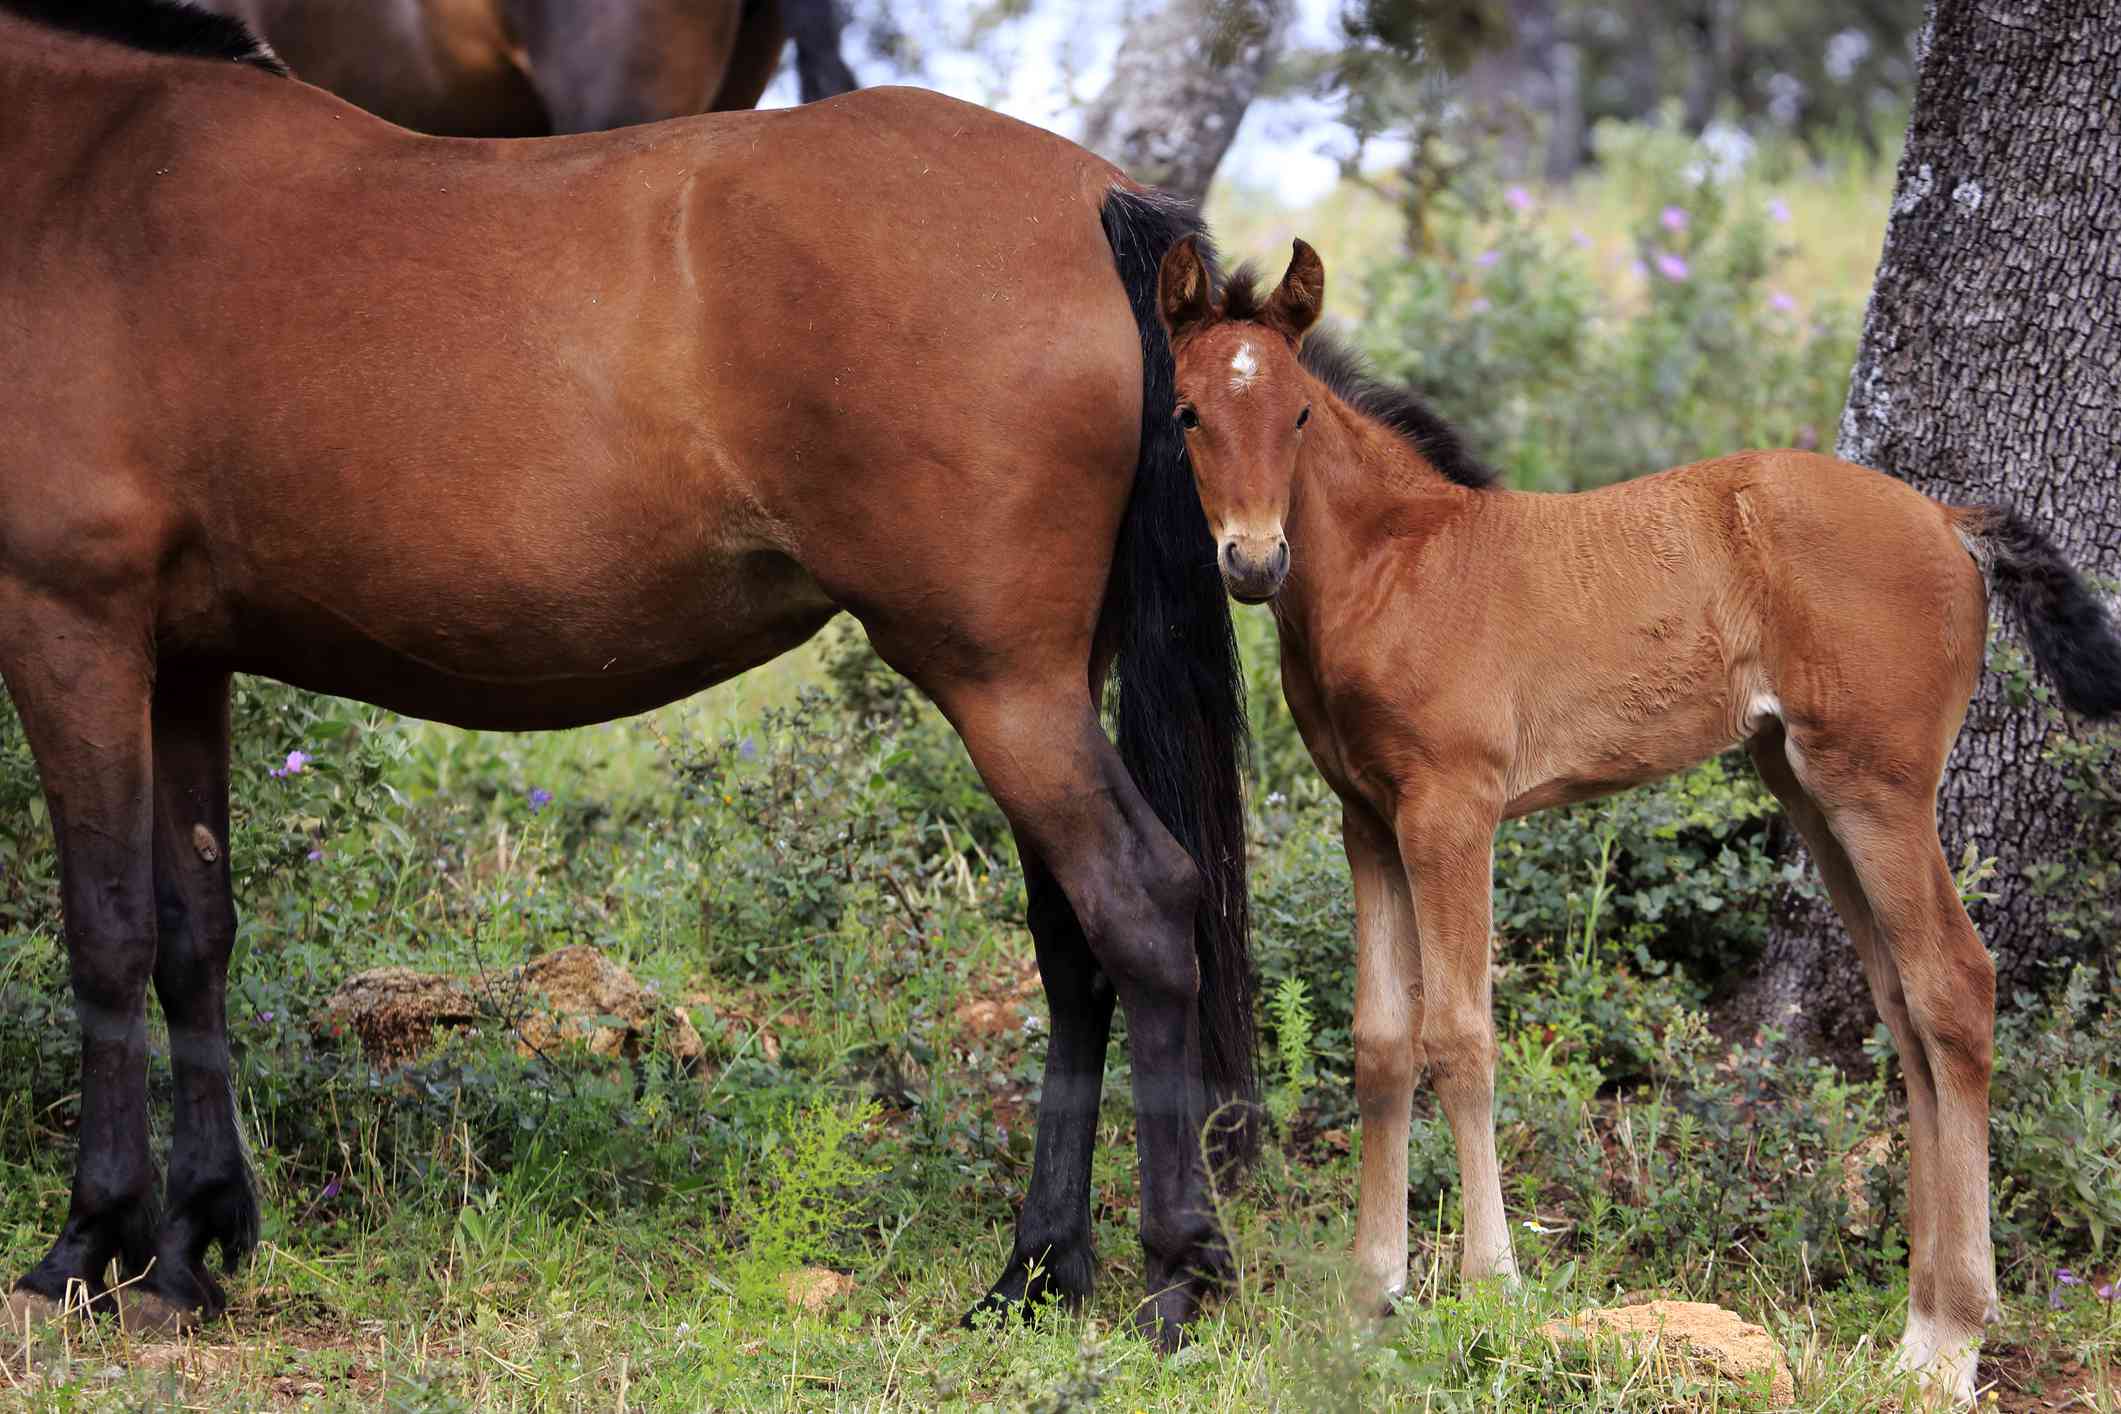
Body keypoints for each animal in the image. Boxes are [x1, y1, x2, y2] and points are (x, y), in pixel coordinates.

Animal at [0, 0, 1247, 1348]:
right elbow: (193, 933)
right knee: (1073, 944)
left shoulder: (68, 627)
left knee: (1141, 907)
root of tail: (1093, 201)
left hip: (1000, 682)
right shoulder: (182, 661)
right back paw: (1035, 1268)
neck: (88, 184)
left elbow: (106, 932)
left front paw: (87, 1243)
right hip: (1043, 684)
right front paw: (189, 1244)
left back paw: (1176, 1270)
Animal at [1162, 235, 2121, 1407]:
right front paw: (1368, 1297)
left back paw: (1951, 1340)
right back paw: (1918, 1328)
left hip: (1879, 788)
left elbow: (1460, 1035)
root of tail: (1949, 521)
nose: (1254, 561)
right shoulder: (1367, 820)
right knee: (1903, 1004)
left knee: (1954, 986)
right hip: (1806, 785)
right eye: (1187, 412)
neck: (1399, 568)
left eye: (1298, 412)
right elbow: (1381, 1044)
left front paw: (1490, 1288)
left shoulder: (1452, 811)